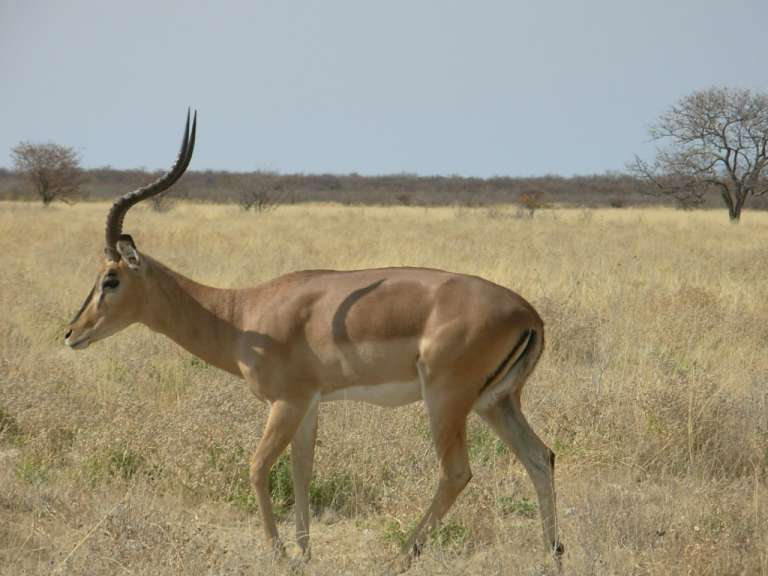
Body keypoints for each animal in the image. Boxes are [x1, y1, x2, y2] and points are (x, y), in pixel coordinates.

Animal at [65, 111, 563, 571]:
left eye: (110, 279)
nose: (72, 333)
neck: (242, 314)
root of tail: (528, 314)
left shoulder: (285, 402)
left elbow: (258, 467)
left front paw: (279, 553)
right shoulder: (309, 404)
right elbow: (302, 469)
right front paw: (304, 553)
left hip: (446, 399)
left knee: (456, 472)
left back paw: (400, 557)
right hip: (496, 402)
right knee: (541, 457)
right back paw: (554, 555)